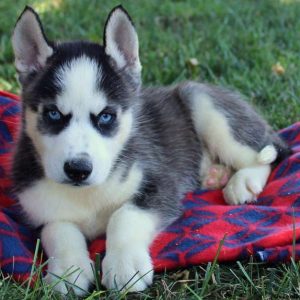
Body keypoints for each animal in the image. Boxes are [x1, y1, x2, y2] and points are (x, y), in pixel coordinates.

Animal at [12, 5, 290, 296]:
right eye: (53, 113)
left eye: (106, 116)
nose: (78, 170)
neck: (87, 195)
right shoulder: (40, 208)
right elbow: (59, 231)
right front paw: (67, 270)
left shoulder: (161, 183)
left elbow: (124, 216)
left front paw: (124, 264)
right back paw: (216, 174)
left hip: (202, 101)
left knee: (270, 152)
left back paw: (243, 182)